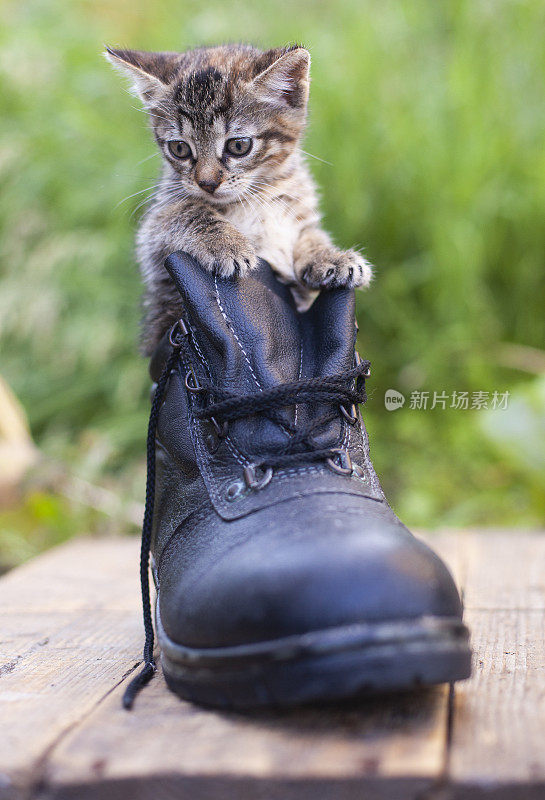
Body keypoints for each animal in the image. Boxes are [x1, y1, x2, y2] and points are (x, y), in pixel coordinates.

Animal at [104, 44, 372, 354]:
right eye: (180, 149)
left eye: (239, 145)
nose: (207, 183)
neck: (258, 195)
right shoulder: (153, 231)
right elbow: (187, 210)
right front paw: (226, 244)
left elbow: (310, 236)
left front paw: (330, 257)